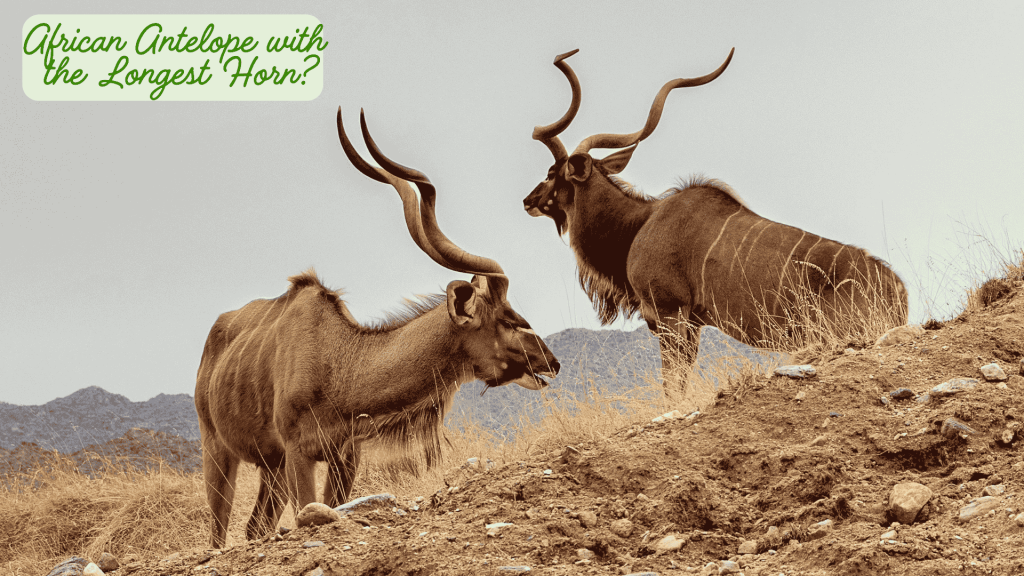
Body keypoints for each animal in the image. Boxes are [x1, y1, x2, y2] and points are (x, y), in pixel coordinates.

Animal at [195, 108, 559, 548]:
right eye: (509, 320)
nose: (551, 361)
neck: (340, 365)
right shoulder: (299, 454)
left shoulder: (344, 458)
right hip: (218, 452)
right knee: (219, 531)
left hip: (271, 467)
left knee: (255, 526)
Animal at [524, 48, 907, 381]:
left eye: (551, 173)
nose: (528, 200)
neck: (639, 224)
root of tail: (898, 291)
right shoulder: (691, 323)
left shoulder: (670, 314)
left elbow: (673, 384)